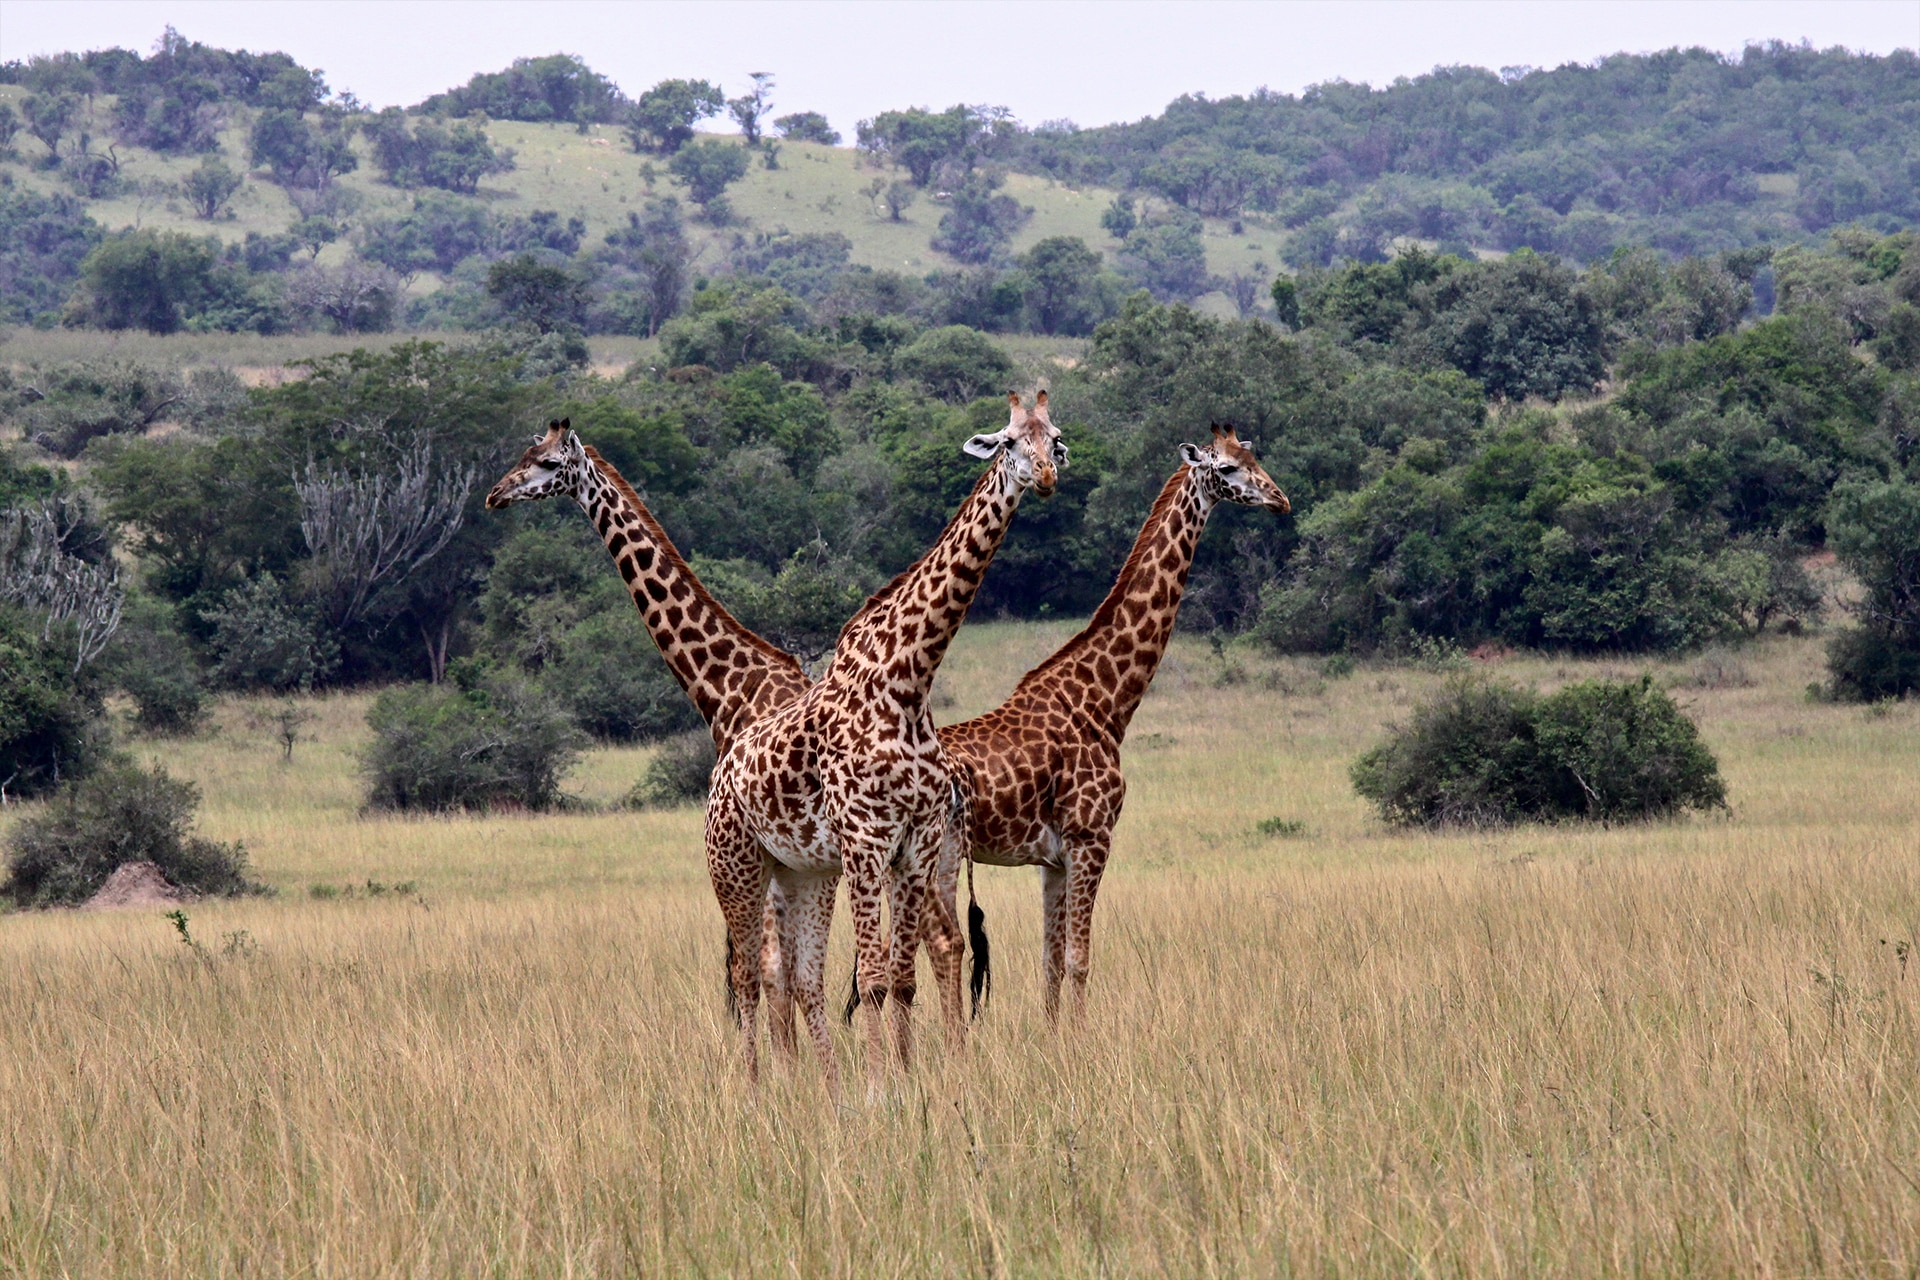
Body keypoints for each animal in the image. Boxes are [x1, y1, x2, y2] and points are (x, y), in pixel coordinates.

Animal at [707, 392, 1062, 1095]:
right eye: (1009, 440)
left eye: (1055, 437)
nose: (1045, 476)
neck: (908, 681)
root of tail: (720, 770)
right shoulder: (867, 841)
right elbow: (871, 977)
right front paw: (878, 1089)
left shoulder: (916, 842)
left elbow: (900, 977)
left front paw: (907, 1077)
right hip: (736, 866)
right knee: (747, 975)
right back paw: (755, 1089)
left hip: (801, 872)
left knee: (803, 977)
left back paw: (822, 1089)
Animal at [936, 425, 1289, 1025]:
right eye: (1226, 468)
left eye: (1254, 456)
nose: (1280, 500)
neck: (1105, 701)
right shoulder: (1091, 837)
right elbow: (1079, 959)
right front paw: (1079, 1040)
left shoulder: (1052, 858)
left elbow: (1052, 961)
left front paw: (1054, 1037)